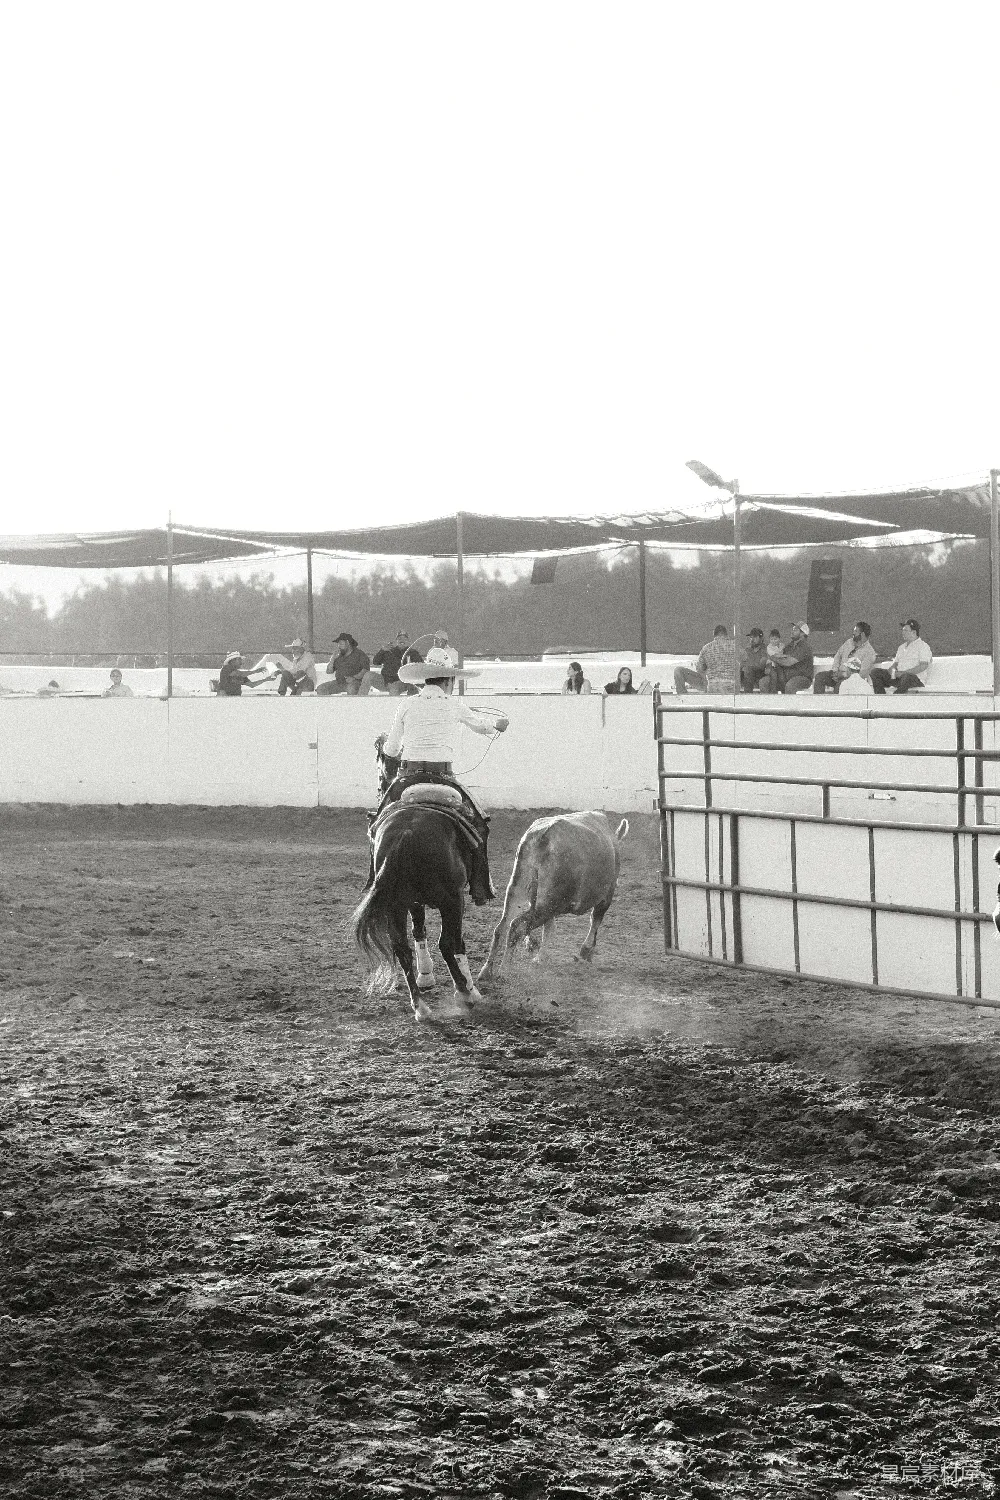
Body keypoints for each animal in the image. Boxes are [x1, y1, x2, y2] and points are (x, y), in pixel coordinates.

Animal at [351, 739, 482, 1021]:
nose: (379, 790)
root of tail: (406, 832)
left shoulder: (413, 901)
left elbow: (418, 929)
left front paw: (426, 975)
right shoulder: (455, 900)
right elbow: (457, 942)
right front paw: (470, 988)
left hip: (396, 903)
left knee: (401, 948)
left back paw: (420, 1006)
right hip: (451, 900)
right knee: (447, 943)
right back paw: (464, 994)